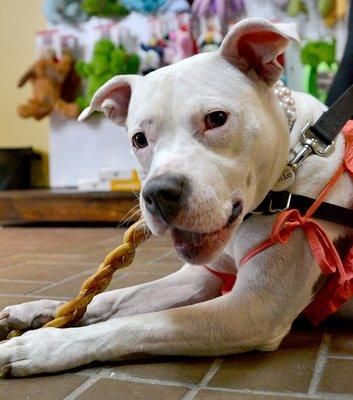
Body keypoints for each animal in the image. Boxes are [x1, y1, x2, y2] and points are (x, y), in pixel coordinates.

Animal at [0, 16, 352, 378]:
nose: (159, 194)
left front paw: (43, 345)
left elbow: (142, 323)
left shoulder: (256, 307)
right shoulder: (199, 277)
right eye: (139, 139)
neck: (292, 161)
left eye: (216, 119)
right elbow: (110, 298)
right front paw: (43, 310)